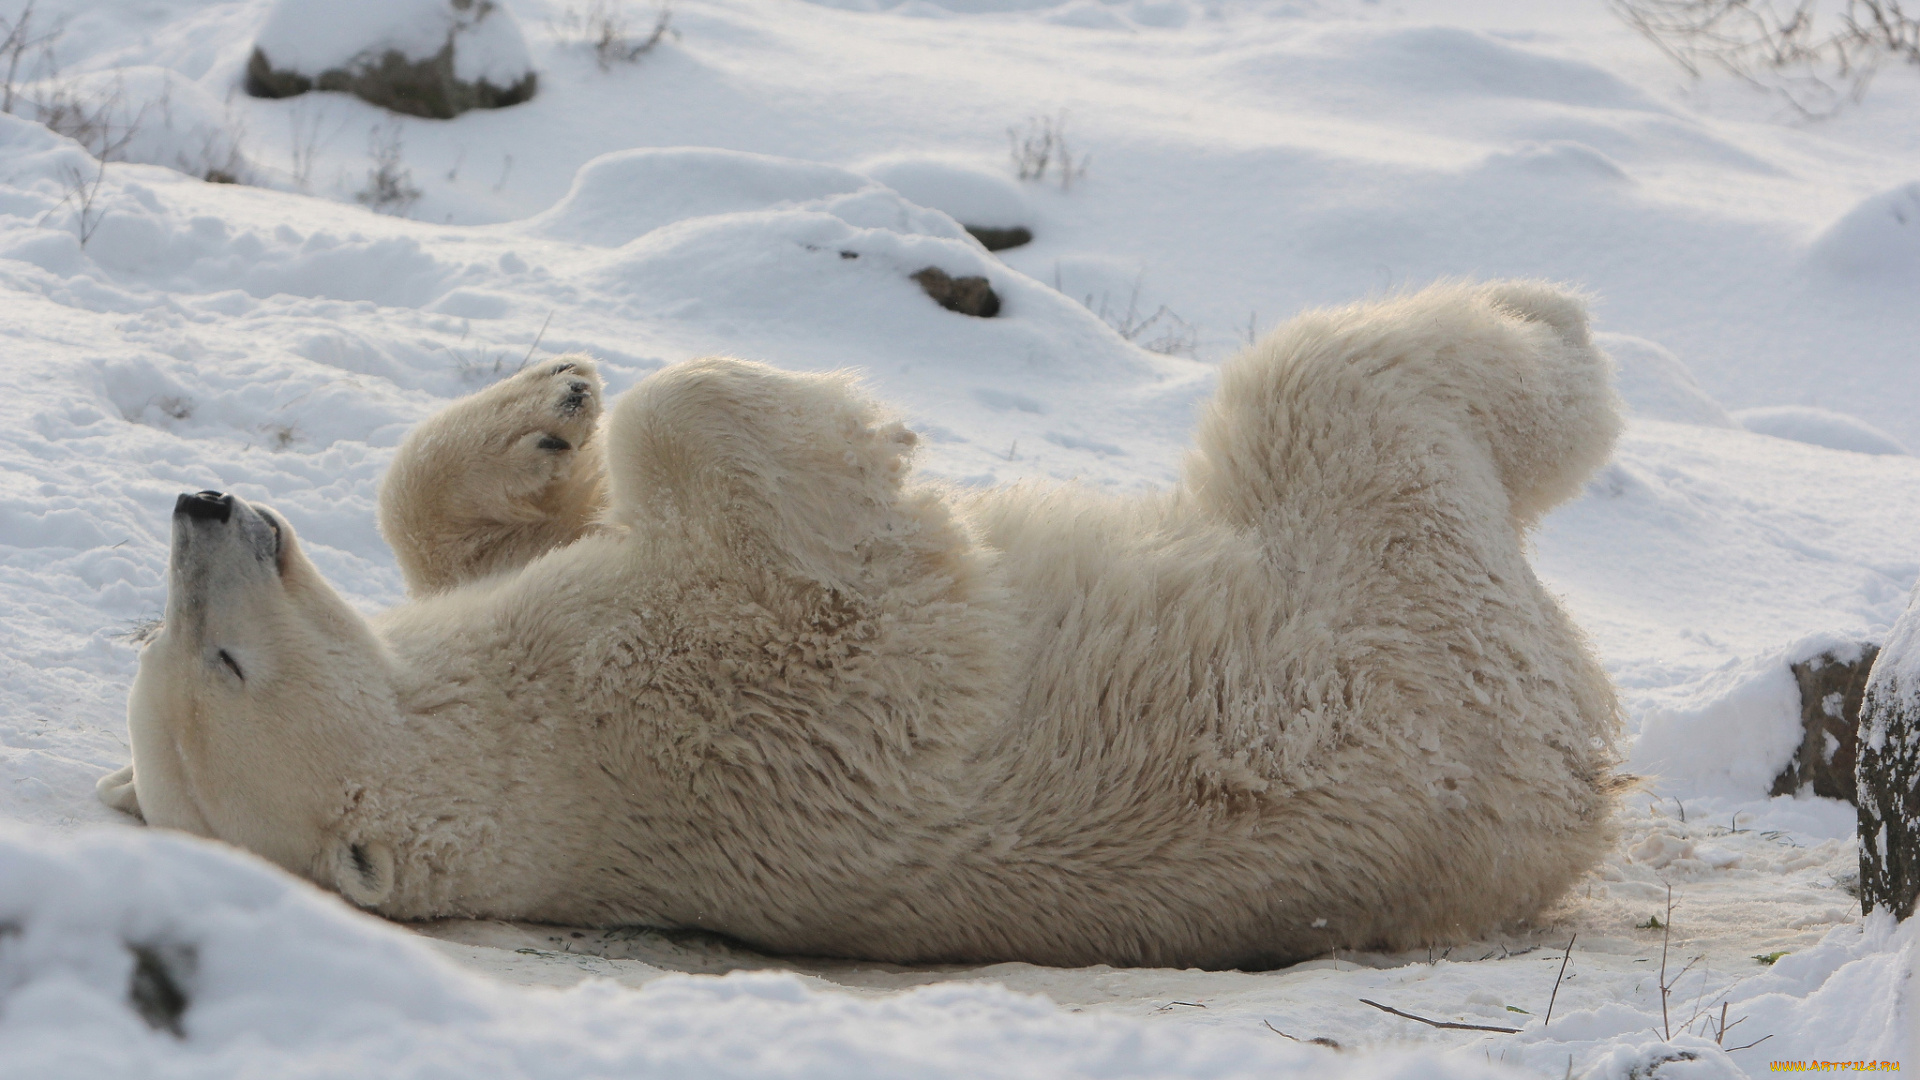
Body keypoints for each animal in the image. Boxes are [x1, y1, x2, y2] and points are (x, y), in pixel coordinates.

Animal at [101, 278, 1620, 968]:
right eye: (216, 658)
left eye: (173, 645)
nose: (204, 505)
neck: (539, 753)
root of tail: (1580, 778)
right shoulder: (732, 677)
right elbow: (812, 550)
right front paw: (866, 431)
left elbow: (478, 530)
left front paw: (552, 410)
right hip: (1403, 589)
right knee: (1347, 385)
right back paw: (1557, 320)